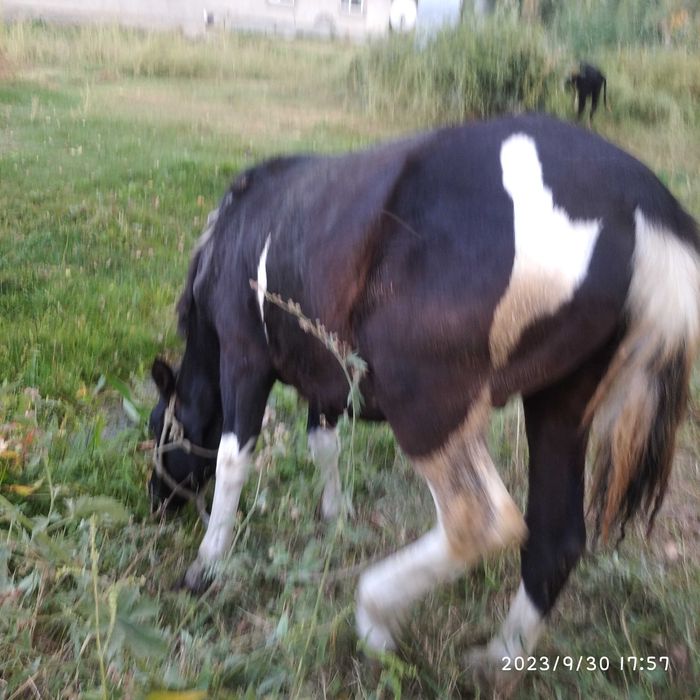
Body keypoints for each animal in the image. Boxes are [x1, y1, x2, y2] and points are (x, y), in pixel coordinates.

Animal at [148, 113, 699, 689]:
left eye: (158, 429)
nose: (156, 502)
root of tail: (641, 203)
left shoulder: (244, 359)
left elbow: (234, 459)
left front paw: (207, 563)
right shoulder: (326, 378)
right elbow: (323, 443)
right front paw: (337, 515)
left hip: (425, 402)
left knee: (480, 520)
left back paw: (375, 619)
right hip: (562, 402)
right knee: (556, 537)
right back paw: (496, 660)